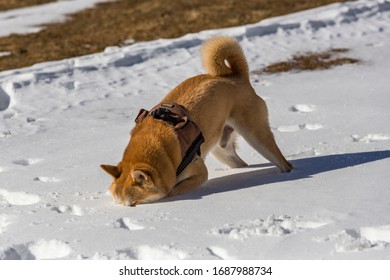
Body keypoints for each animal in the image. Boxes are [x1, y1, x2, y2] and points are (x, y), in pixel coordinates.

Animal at [100, 35, 292, 206]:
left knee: (284, 163)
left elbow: (172, 190)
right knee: (241, 163)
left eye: (133, 204)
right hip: (221, 150)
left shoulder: (199, 172)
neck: (161, 148)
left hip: (255, 136)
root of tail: (235, 76)